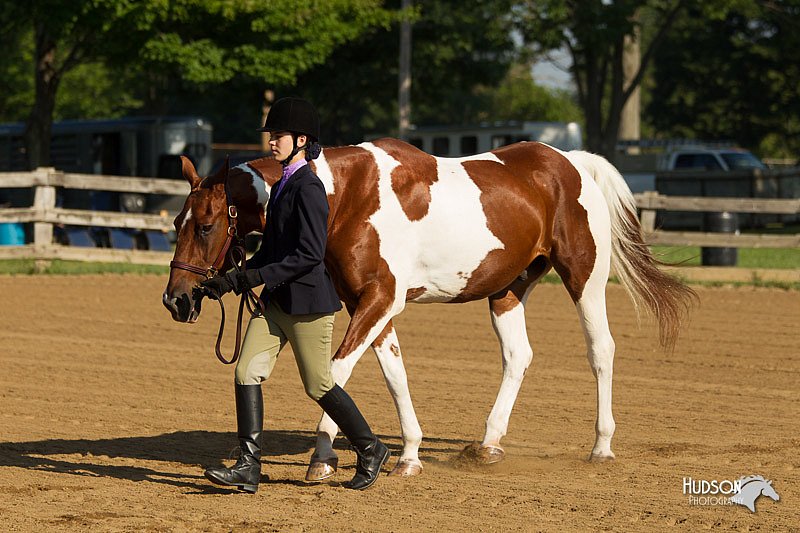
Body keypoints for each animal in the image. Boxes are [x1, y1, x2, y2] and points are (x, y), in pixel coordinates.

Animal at [162, 137, 692, 478]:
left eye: (206, 225)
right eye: (175, 221)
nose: (176, 299)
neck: (347, 194)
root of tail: (572, 163)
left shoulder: (381, 299)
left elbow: (337, 371)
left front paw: (324, 457)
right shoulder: (368, 303)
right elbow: (393, 375)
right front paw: (408, 454)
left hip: (584, 278)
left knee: (601, 350)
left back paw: (601, 447)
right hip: (507, 289)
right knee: (518, 356)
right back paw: (488, 444)